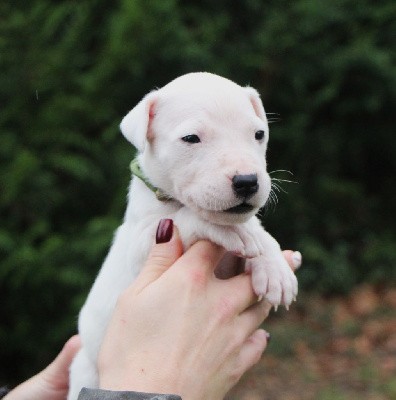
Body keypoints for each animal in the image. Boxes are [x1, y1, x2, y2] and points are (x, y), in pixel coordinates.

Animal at [67, 72, 296, 400]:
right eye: (191, 138)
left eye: (259, 134)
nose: (247, 181)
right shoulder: (142, 242)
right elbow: (187, 218)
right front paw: (233, 232)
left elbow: (258, 229)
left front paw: (274, 268)